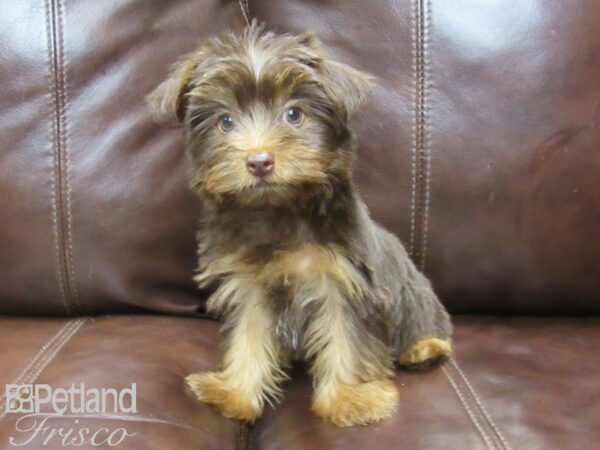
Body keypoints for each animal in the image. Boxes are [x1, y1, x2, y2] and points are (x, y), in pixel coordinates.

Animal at [148, 22, 452, 428]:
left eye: (294, 114)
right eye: (225, 121)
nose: (259, 160)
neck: (278, 211)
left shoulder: (343, 280)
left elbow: (346, 337)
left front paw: (349, 399)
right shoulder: (250, 286)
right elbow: (248, 336)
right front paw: (235, 393)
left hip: (417, 297)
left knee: (425, 322)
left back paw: (424, 348)